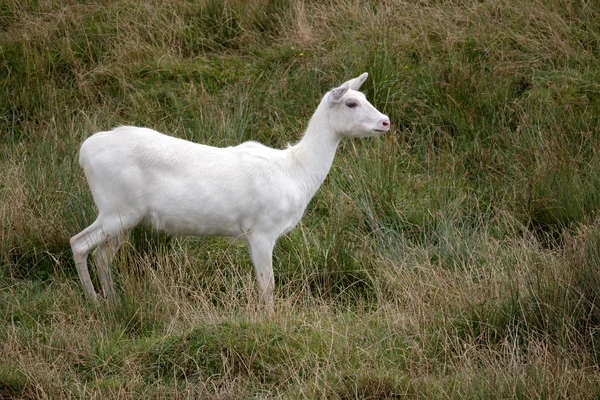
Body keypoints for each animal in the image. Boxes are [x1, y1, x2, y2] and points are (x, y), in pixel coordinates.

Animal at [70, 73, 392, 306]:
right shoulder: (262, 229)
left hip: (126, 217)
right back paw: (95, 301)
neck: (296, 172)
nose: (385, 121)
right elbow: (267, 285)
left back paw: (113, 300)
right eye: (351, 103)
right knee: (79, 243)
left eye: (364, 97)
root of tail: (84, 152)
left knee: (101, 255)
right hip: (117, 209)